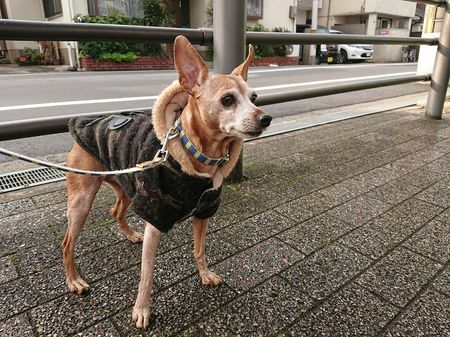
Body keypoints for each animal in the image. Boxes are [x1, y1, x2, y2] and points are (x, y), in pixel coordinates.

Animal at [62, 36, 272, 328]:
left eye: (254, 98)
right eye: (228, 100)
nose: (266, 118)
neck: (200, 158)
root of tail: (90, 119)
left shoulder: (203, 213)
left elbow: (200, 249)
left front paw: (205, 274)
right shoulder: (154, 216)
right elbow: (146, 273)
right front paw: (141, 310)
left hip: (126, 184)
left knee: (115, 210)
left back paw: (130, 235)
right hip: (82, 200)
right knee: (67, 243)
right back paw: (74, 281)